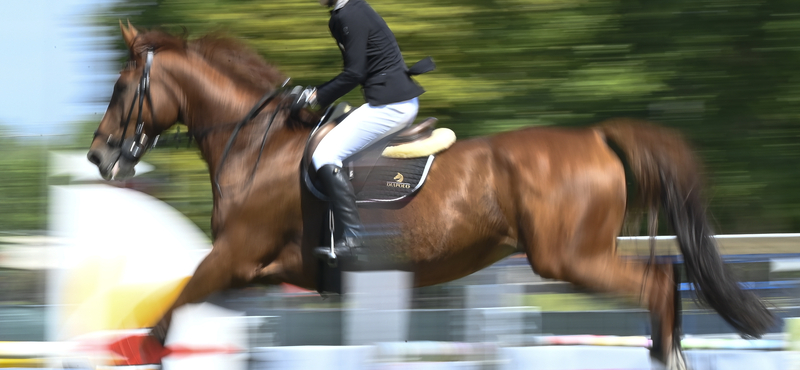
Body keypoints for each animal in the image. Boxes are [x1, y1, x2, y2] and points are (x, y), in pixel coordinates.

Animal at [87, 22, 776, 368]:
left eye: (120, 87)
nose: (98, 156)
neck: (258, 144)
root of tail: (595, 136)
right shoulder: (252, 270)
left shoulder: (232, 256)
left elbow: (166, 314)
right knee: (664, 289)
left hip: (570, 257)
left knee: (659, 286)